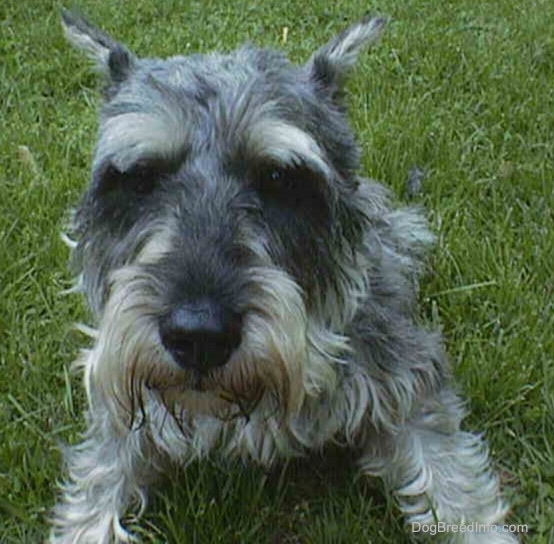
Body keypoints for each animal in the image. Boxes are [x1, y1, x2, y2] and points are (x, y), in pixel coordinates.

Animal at [49, 10, 516, 540]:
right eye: (140, 179)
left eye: (277, 179)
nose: (199, 335)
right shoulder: (118, 413)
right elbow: (94, 490)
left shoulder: (409, 385)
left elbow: (454, 484)